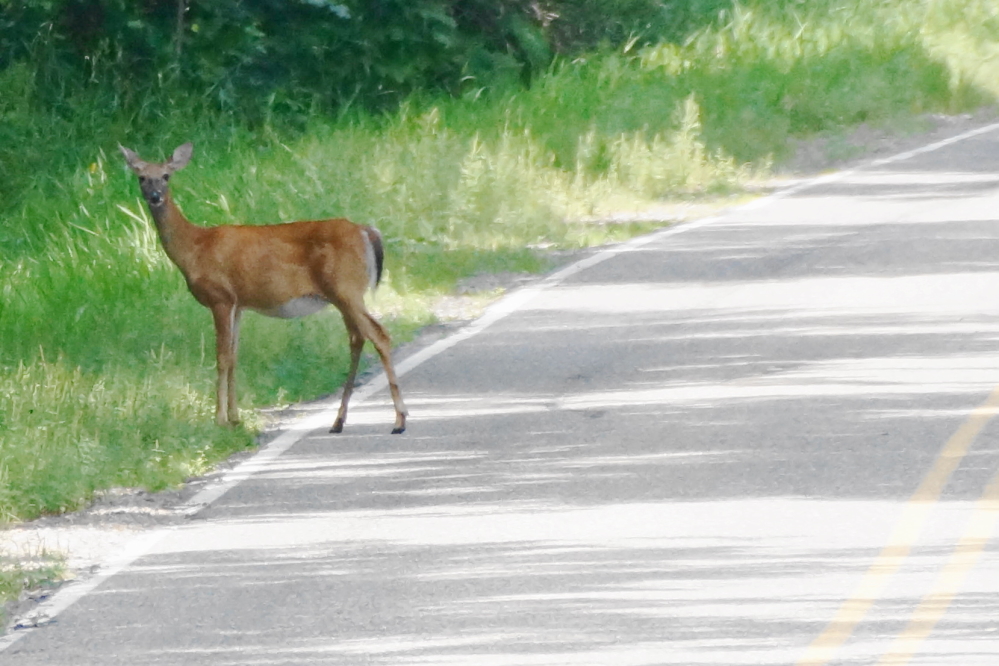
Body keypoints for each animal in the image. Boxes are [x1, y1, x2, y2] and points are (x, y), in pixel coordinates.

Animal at [120, 142, 407, 434]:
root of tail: (366, 231)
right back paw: (339, 421)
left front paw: (219, 419)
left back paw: (399, 420)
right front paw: (235, 418)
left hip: (346, 288)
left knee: (379, 335)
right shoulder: (238, 303)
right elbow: (234, 356)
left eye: (166, 176)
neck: (195, 247)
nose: (155, 196)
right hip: (342, 295)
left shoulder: (220, 297)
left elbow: (222, 357)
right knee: (357, 338)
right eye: (142, 177)